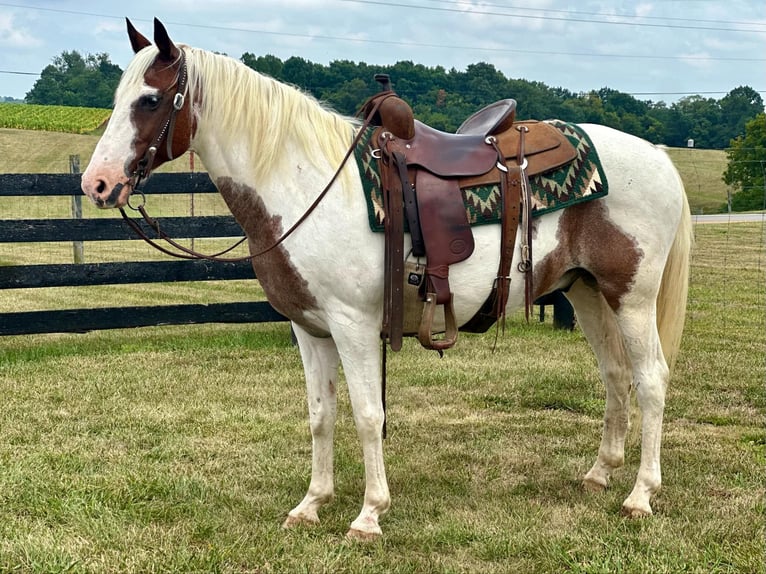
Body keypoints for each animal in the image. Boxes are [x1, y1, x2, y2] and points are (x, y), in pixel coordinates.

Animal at [81, 18, 693, 540]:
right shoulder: (310, 330)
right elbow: (321, 414)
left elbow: (368, 414)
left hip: (631, 298)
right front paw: (312, 504)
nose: (97, 184)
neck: (305, 184)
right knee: (616, 375)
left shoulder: (353, 326)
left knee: (651, 379)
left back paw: (640, 494)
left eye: (149, 99)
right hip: (587, 293)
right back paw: (600, 474)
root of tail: (659, 158)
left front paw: (369, 515)